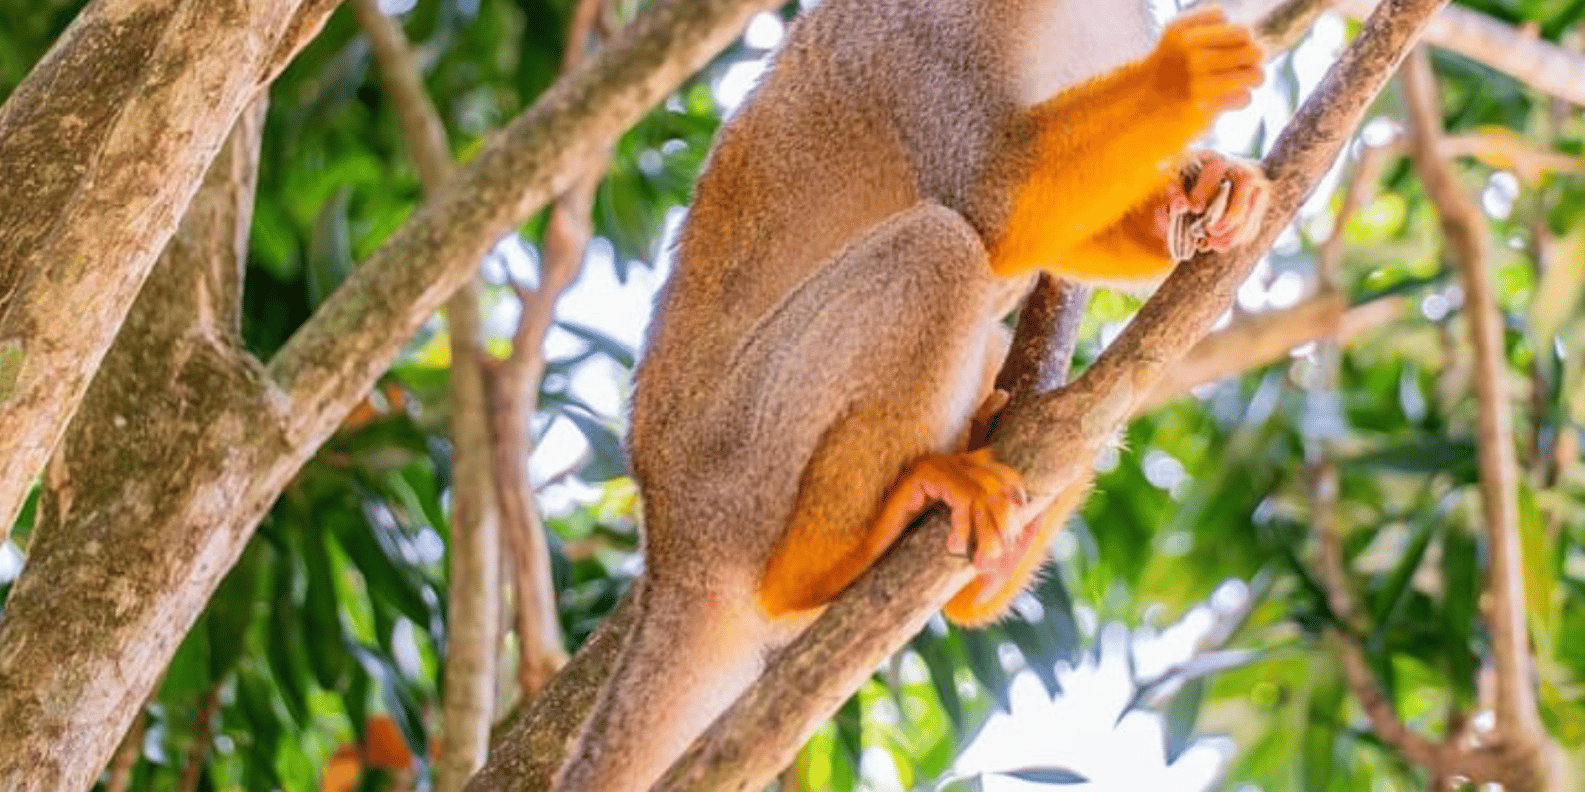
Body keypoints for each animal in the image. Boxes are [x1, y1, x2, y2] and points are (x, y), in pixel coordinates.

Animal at [554, 2, 1269, 790]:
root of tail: (671, 546)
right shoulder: (926, 28)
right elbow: (993, 200)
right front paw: (1181, 74)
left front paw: (1208, 192)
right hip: (742, 460)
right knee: (938, 250)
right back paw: (822, 566)